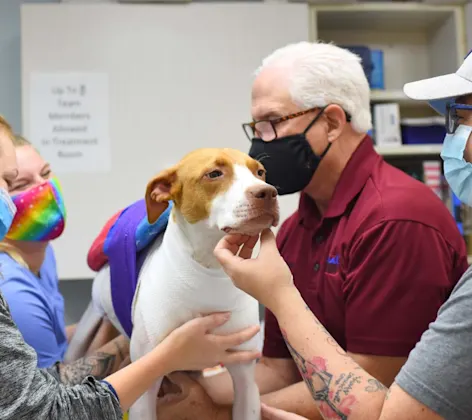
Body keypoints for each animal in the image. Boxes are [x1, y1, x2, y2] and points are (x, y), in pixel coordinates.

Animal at [67, 148, 280, 420]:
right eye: (214, 174)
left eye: (260, 172)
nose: (268, 192)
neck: (209, 271)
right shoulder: (145, 384)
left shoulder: (245, 378)